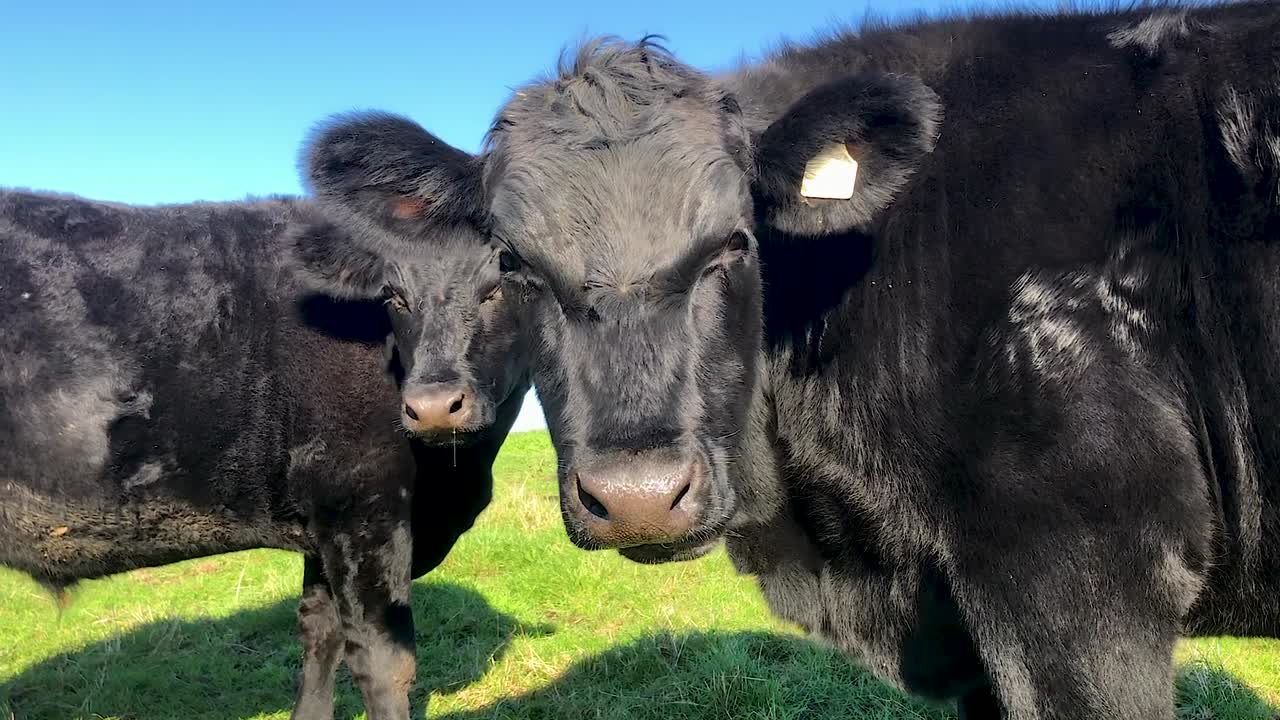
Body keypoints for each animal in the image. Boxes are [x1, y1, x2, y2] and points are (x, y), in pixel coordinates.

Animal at [0, 126, 529, 720]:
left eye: (504, 276)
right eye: (393, 294)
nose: (434, 405)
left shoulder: (324, 527)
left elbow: (321, 633)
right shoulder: (363, 504)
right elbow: (383, 662)